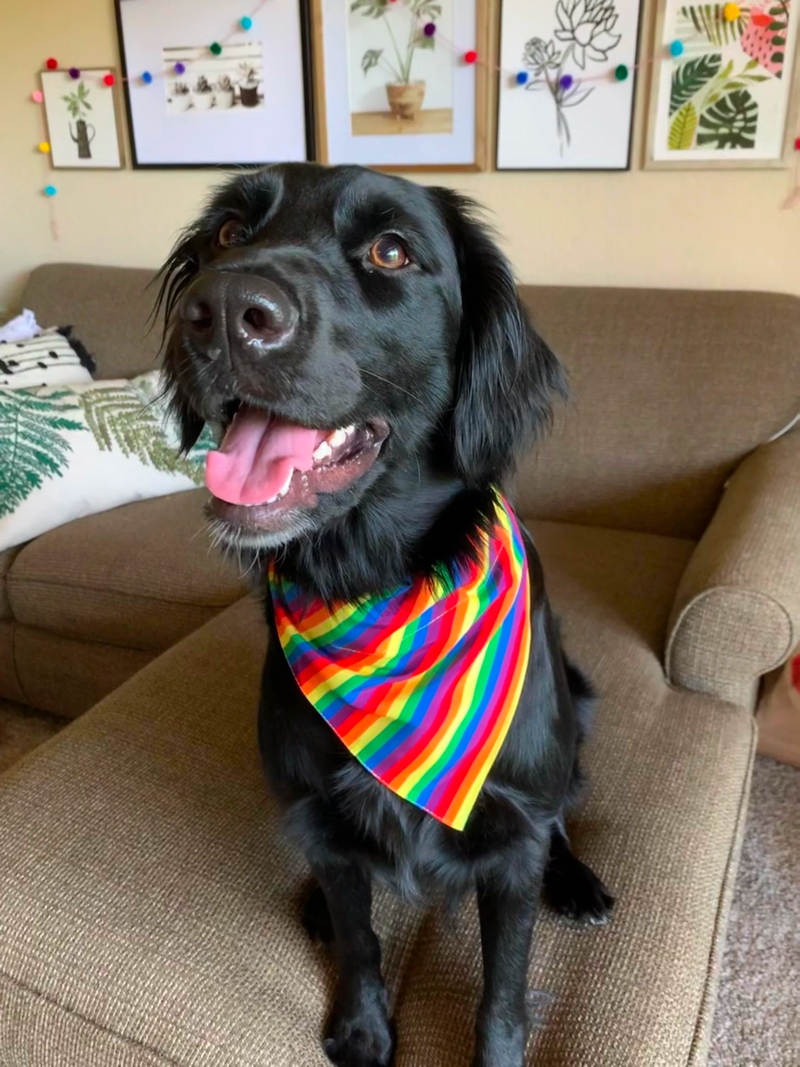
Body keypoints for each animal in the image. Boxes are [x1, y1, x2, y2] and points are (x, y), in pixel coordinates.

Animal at [157, 164, 614, 1067]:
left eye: (391, 250)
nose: (221, 308)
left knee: (566, 815)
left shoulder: (512, 841)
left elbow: (503, 989)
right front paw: (363, 1029)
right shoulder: (323, 819)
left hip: (576, 707)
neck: (376, 590)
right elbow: (360, 932)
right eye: (228, 233)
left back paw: (576, 879)